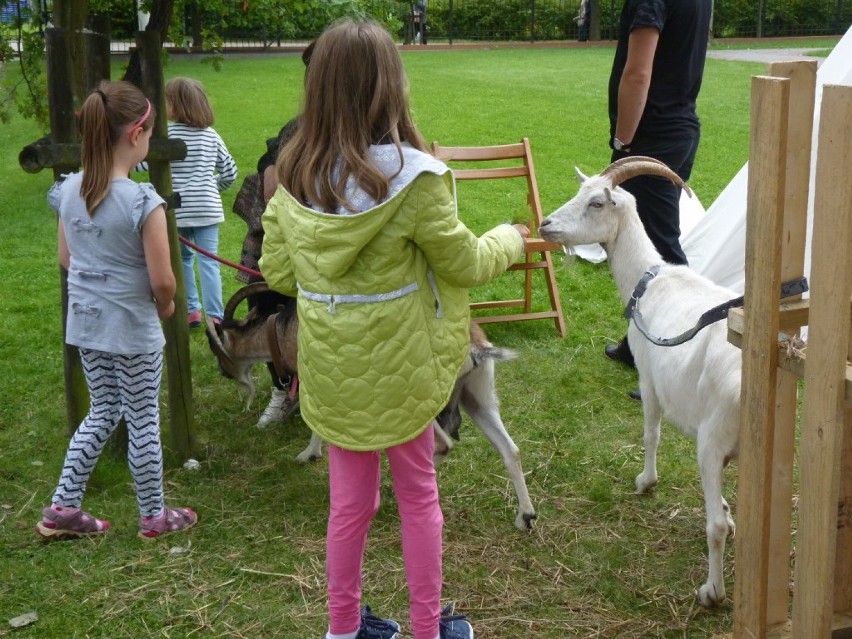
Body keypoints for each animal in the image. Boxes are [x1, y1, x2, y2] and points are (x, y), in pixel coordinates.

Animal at [544, 158, 744, 608]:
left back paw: (712, 592)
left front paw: (645, 482)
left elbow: (651, 433)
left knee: (712, 529)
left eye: (597, 202)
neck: (646, 280)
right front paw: (727, 509)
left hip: (711, 438)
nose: (545, 225)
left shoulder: (649, 378)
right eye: (579, 192)